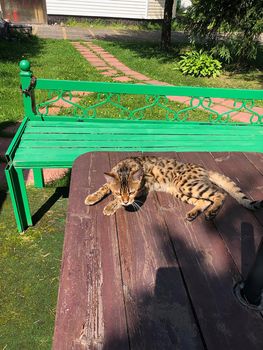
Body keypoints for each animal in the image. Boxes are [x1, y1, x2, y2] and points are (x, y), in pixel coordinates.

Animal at [85, 157, 263, 221]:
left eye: (131, 192)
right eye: (118, 192)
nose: (126, 201)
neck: (126, 167)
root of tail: (203, 168)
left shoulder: (143, 188)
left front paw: (110, 206)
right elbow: (103, 187)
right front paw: (92, 197)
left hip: (185, 184)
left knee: (220, 193)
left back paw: (212, 212)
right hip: (180, 191)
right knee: (204, 201)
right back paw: (193, 213)